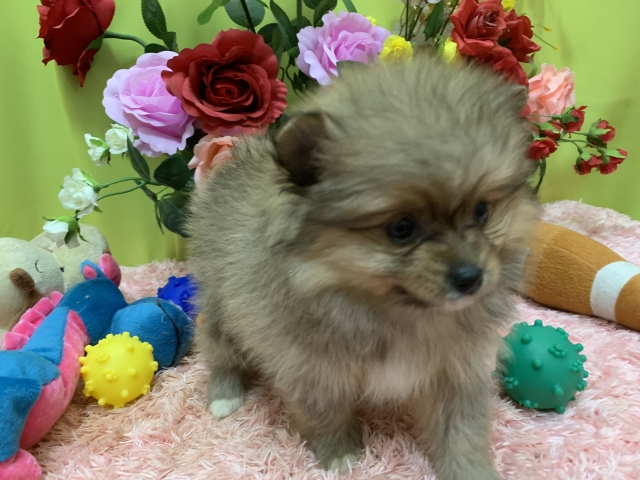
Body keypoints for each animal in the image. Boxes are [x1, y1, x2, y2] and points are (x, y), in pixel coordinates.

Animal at [187, 54, 540, 479]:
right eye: (401, 229)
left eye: (482, 211)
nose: (471, 278)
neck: (398, 313)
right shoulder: (312, 369)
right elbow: (326, 415)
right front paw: (339, 454)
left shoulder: (456, 370)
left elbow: (461, 432)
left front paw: (472, 471)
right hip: (222, 307)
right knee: (217, 346)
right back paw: (224, 396)